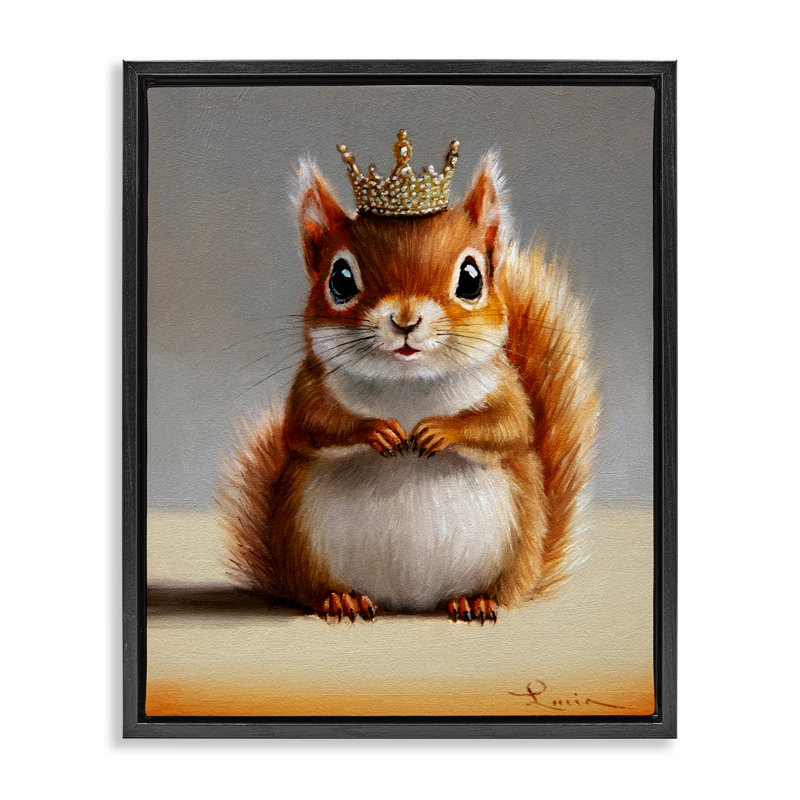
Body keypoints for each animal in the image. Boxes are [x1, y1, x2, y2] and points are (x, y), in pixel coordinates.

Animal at [219, 131, 599, 624]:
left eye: (472, 278)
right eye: (340, 279)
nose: (405, 320)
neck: (408, 385)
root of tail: (408, 602)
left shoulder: (506, 388)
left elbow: (509, 426)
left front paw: (440, 431)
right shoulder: (309, 387)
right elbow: (309, 425)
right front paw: (377, 430)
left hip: (516, 548)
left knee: (499, 590)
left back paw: (476, 600)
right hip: (302, 543)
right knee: (317, 589)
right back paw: (340, 598)